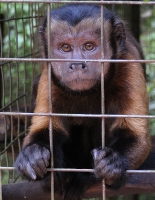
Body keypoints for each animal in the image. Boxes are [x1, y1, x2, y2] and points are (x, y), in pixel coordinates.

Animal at [14, 3, 150, 200]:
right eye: (65, 48)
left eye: (89, 46)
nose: (77, 64)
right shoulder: (50, 75)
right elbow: (46, 128)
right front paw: (33, 153)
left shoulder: (129, 66)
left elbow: (136, 135)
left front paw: (113, 161)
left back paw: (84, 176)